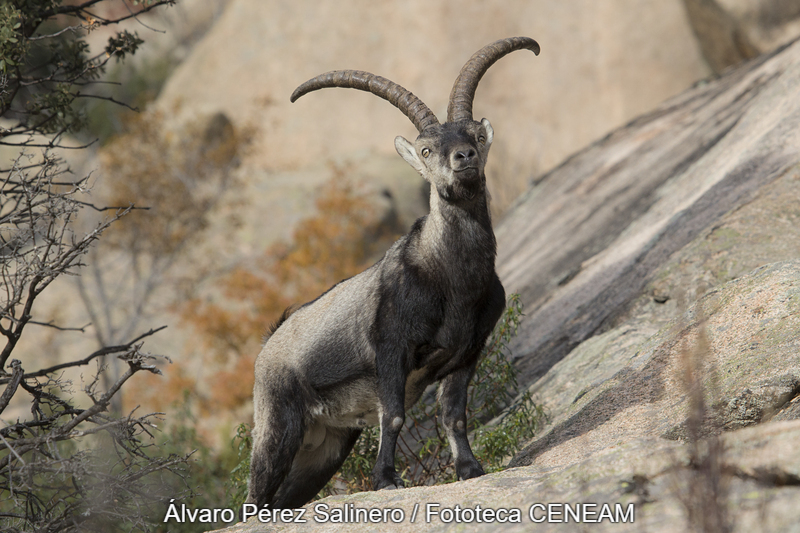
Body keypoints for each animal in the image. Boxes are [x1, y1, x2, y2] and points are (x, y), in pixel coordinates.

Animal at [247, 35, 540, 510]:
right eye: (425, 150)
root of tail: (267, 347)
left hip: (328, 444)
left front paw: (469, 469)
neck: (451, 276)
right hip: (276, 425)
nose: (463, 157)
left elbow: (454, 416)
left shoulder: (468, 351)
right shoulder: (391, 350)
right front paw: (386, 480)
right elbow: (396, 417)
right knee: (257, 493)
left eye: (476, 135)